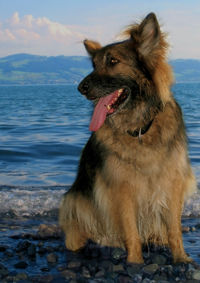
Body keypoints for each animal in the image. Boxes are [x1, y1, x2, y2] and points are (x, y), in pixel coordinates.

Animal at [58, 12, 196, 262]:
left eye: (113, 61)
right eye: (94, 65)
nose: (80, 88)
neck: (141, 128)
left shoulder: (172, 182)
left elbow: (174, 229)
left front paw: (181, 258)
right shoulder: (122, 189)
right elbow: (131, 231)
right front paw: (135, 262)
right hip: (74, 203)